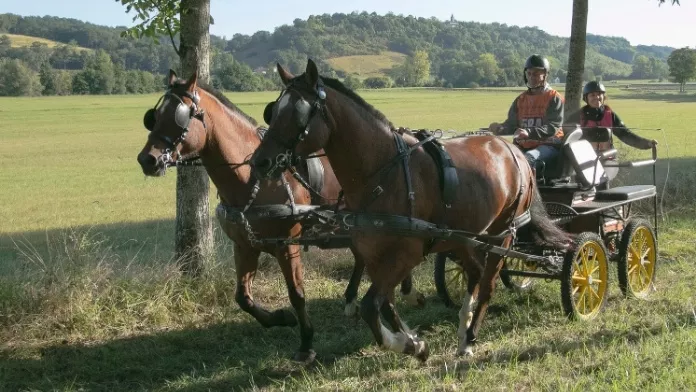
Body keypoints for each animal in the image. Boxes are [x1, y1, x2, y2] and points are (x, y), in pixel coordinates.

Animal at [133, 69, 422, 362]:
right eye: (155, 116)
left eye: (180, 116)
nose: (147, 159)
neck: (250, 180)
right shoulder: (245, 245)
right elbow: (243, 297)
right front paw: (281, 318)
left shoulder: (287, 246)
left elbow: (297, 294)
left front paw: (306, 343)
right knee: (364, 257)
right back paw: (360, 298)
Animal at [250, 59, 572, 362]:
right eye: (273, 111)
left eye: (298, 114)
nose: (259, 161)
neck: (383, 173)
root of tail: (514, 151)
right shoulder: (374, 255)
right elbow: (385, 305)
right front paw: (414, 342)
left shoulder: (407, 254)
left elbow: (371, 307)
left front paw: (409, 344)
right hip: (463, 236)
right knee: (474, 273)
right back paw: (462, 327)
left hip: (501, 234)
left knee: (488, 283)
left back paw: (470, 337)